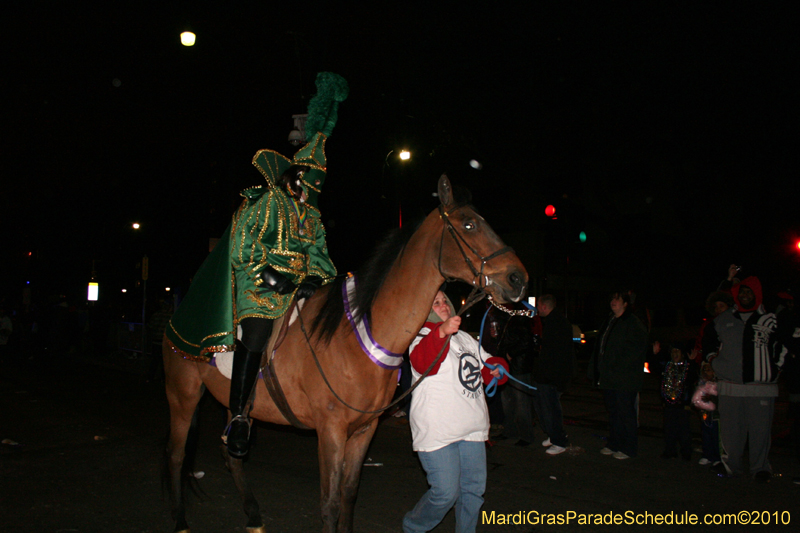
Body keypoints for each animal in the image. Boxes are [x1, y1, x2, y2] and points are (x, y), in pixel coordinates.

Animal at [163, 172, 528, 528]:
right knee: (176, 456)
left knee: (231, 453)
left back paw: (253, 514)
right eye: (469, 225)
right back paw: (179, 519)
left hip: (233, 403)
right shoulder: (331, 431)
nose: (518, 278)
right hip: (183, 396)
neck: (358, 337)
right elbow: (330, 504)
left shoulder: (364, 431)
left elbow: (349, 496)